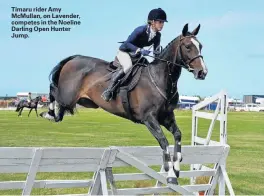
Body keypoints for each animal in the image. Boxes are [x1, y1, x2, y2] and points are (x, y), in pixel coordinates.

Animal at [40, 23, 207, 185]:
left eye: (200, 46)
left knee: (59, 107)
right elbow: (164, 141)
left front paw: (177, 168)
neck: (159, 79)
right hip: (67, 97)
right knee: (53, 92)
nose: (202, 72)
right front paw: (171, 174)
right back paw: (48, 113)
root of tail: (74, 58)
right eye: (187, 46)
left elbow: (177, 135)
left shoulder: (166, 117)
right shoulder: (149, 119)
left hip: (82, 102)